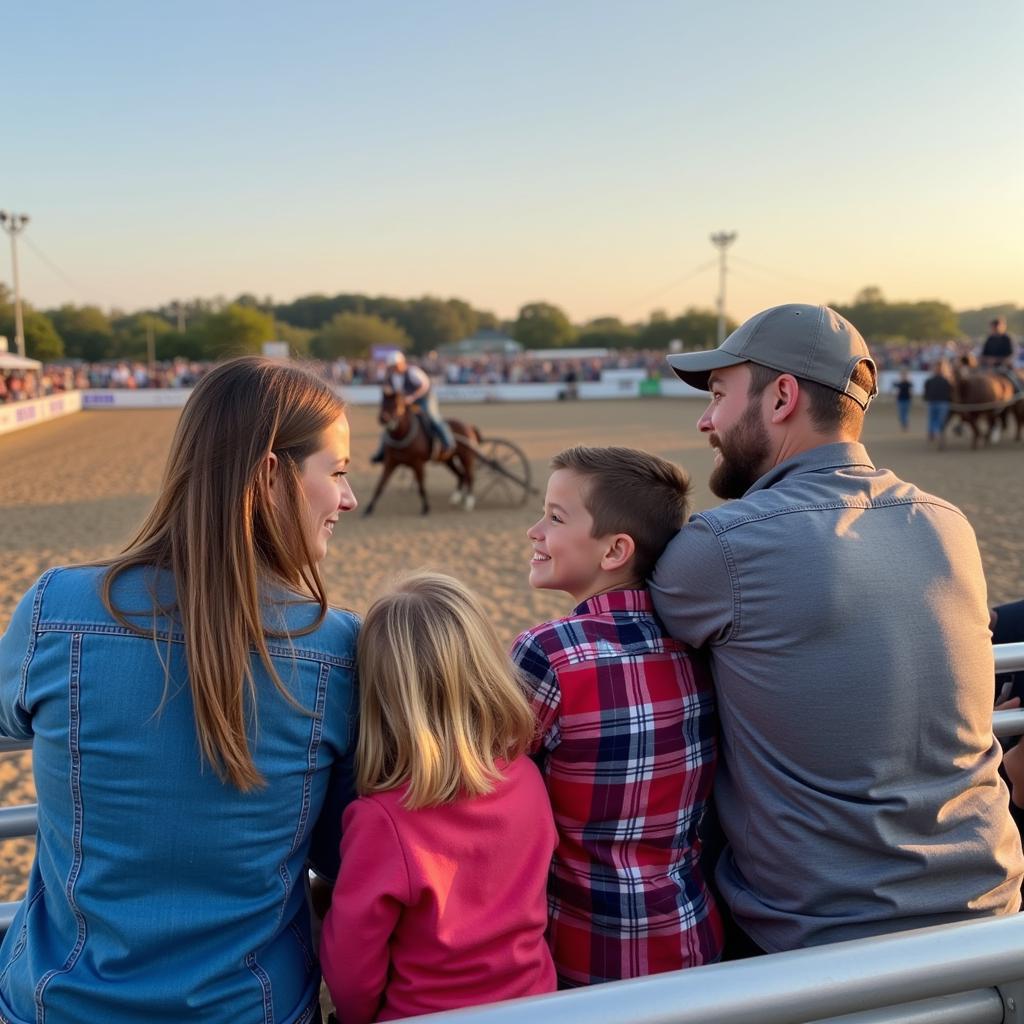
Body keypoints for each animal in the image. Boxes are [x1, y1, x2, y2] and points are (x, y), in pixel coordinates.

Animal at [362, 387, 481, 516]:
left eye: (397, 404)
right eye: (382, 403)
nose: (383, 418)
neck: (402, 435)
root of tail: (469, 426)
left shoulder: (417, 464)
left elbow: (421, 486)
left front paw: (426, 508)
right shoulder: (390, 463)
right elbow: (380, 485)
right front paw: (368, 508)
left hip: (467, 458)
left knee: (470, 477)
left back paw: (468, 502)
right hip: (448, 460)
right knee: (461, 475)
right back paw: (455, 499)